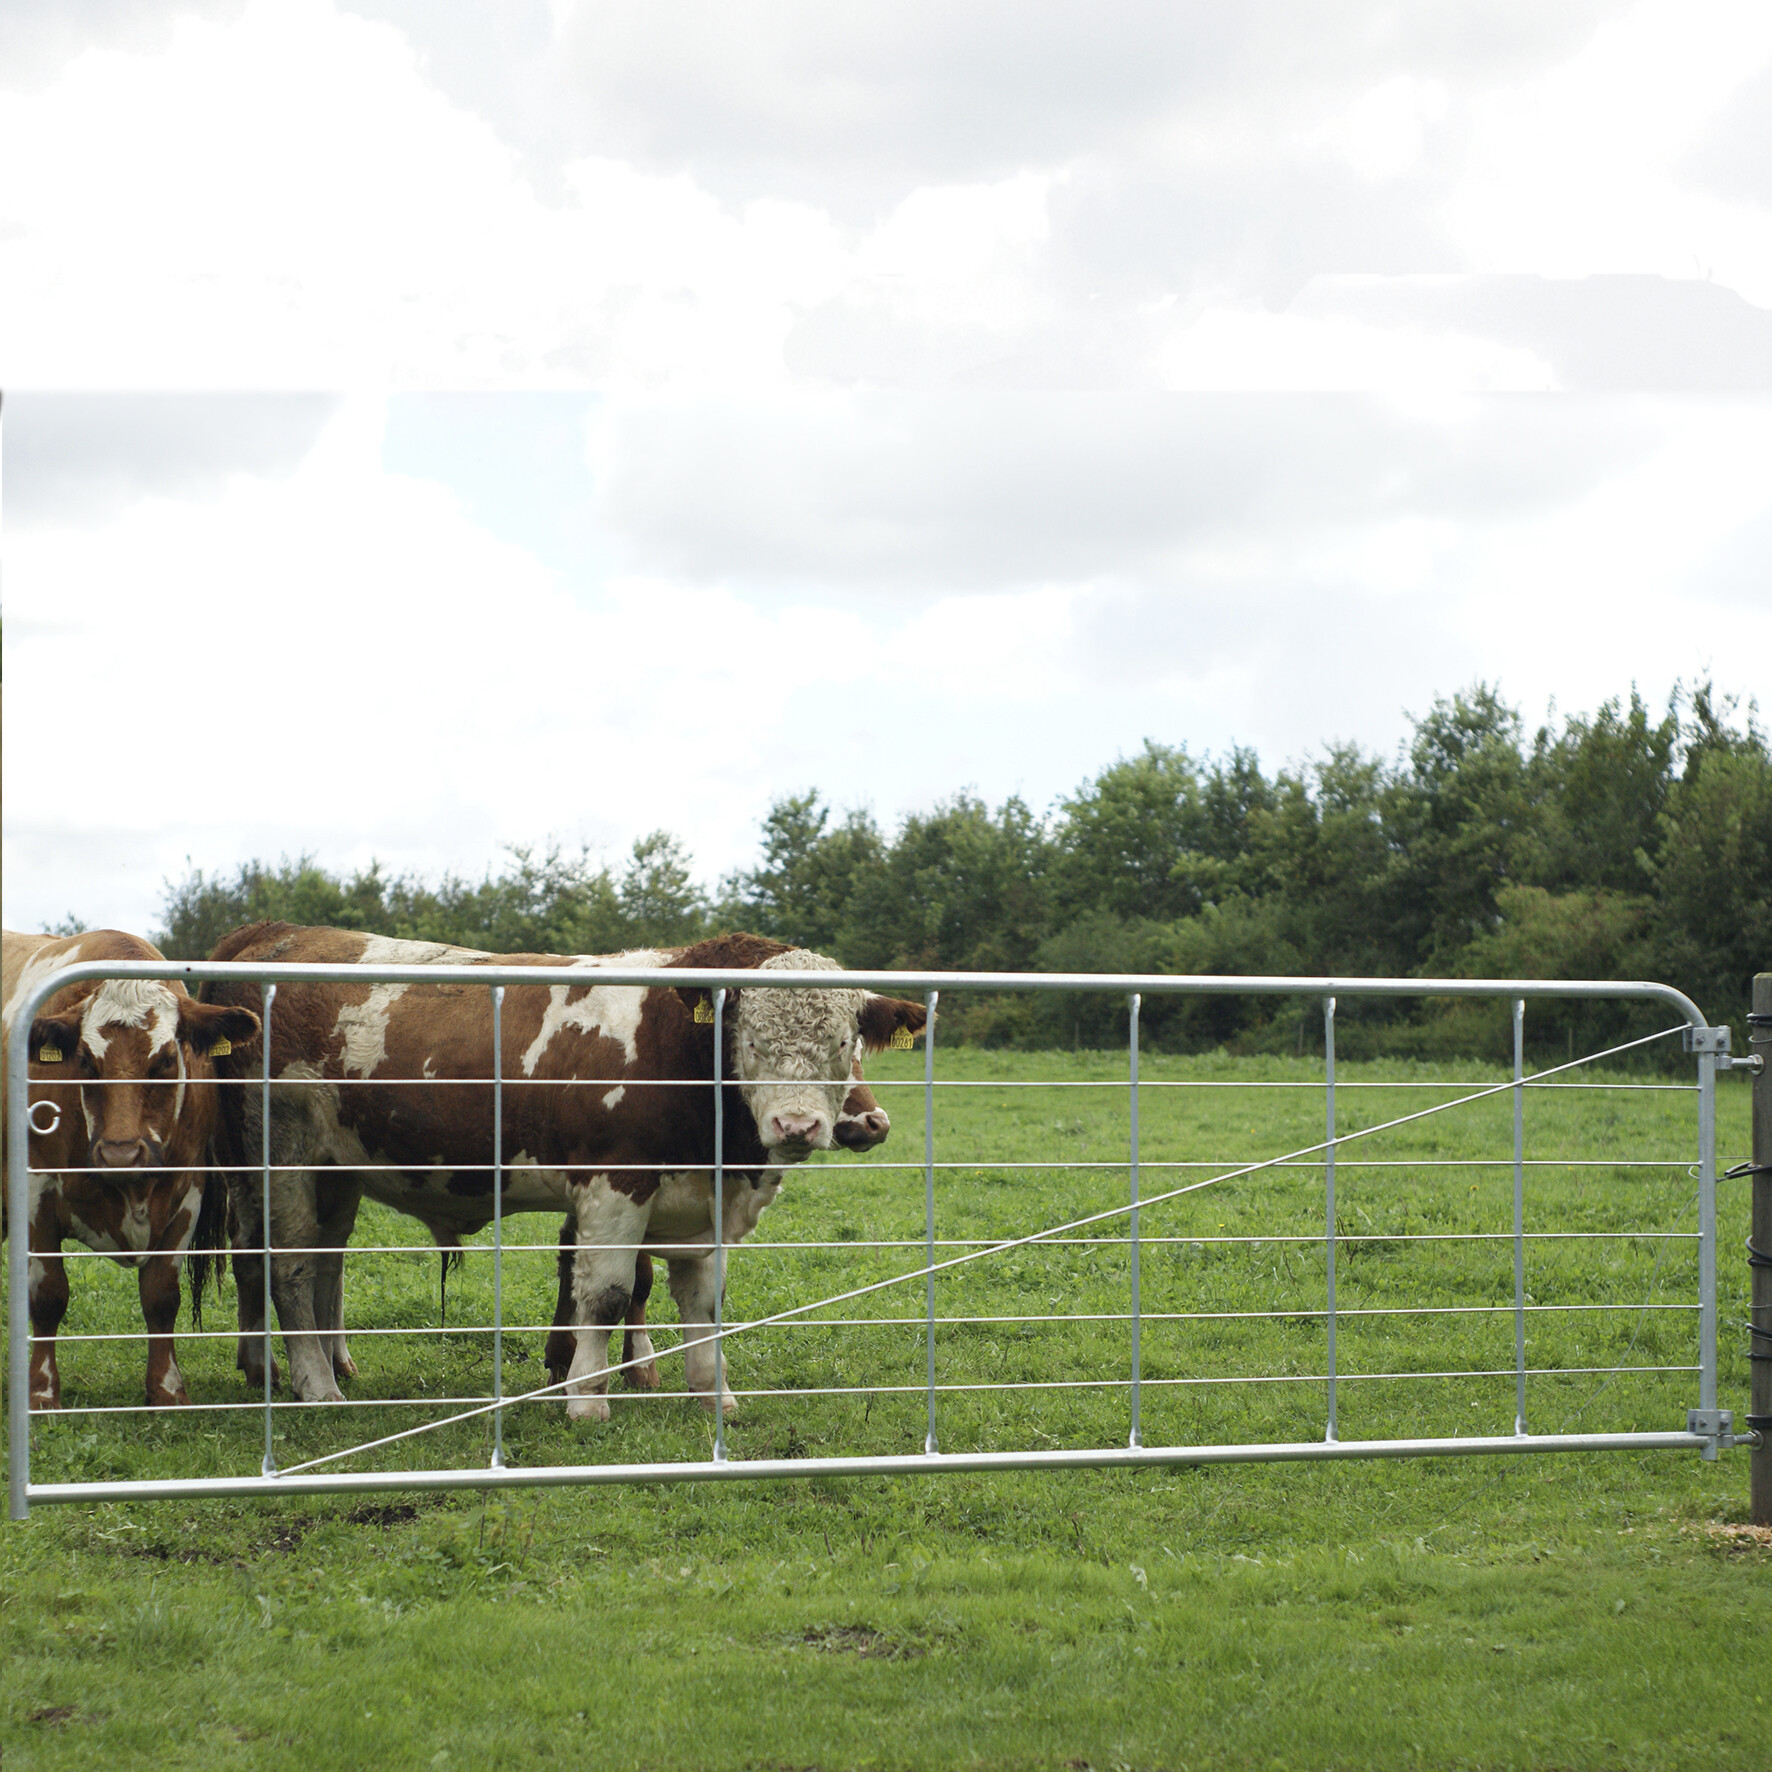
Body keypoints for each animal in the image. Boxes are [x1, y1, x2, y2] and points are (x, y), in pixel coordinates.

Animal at [0, 928, 260, 1410]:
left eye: (165, 1061)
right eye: (85, 1061)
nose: (120, 1154)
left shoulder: (186, 1195)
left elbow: (161, 1295)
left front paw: (167, 1388)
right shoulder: (35, 1194)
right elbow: (47, 1296)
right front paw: (42, 1391)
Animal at [203, 928, 928, 1410]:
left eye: (843, 1042)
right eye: (749, 1039)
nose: (797, 1126)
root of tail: (272, 933)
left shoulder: (702, 1205)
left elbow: (703, 1301)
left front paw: (711, 1394)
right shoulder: (615, 1186)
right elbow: (606, 1294)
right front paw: (585, 1399)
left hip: (334, 1170)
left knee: (324, 1261)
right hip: (279, 1155)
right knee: (288, 1265)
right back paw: (315, 1385)